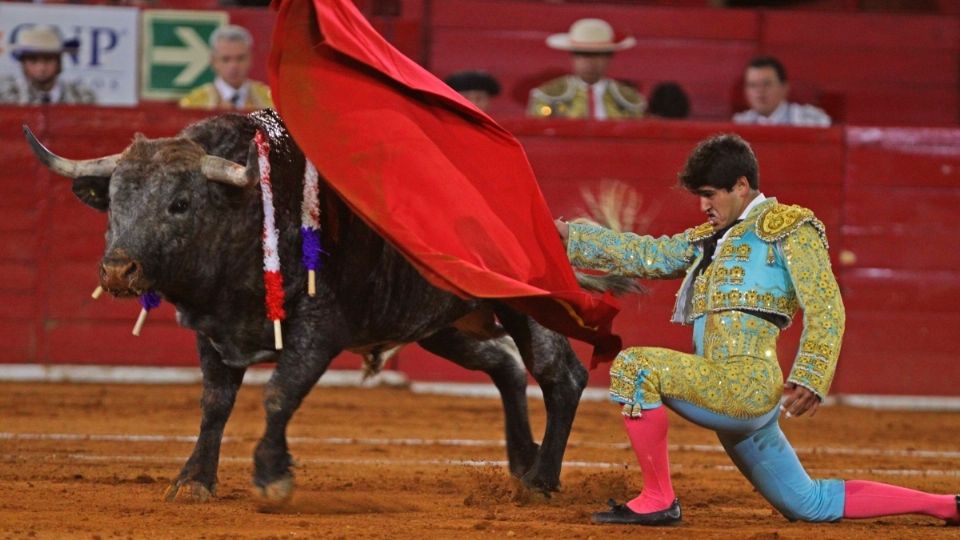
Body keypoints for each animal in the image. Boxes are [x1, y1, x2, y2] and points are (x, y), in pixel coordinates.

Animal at [24, 109, 608, 502]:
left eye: (180, 203)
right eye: (114, 202)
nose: (118, 270)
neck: (251, 212)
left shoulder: (319, 330)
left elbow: (280, 393)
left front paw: (272, 476)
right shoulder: (213, 334)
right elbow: (214, 404)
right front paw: (193, 481)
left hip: (525, 307)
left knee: (560, 375)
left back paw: (540, 481)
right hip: (440, 325)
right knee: (506, 366)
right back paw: (523, 463)